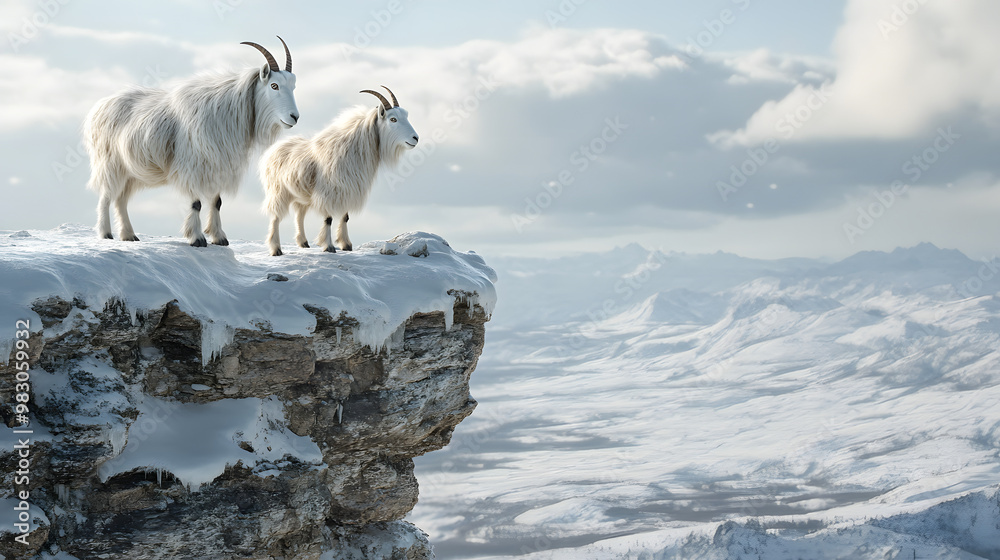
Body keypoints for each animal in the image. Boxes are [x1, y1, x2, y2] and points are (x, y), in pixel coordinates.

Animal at [84, 37, 299, 246]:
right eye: (274, 85)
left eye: (293, 86)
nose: (294, 117)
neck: (226, 111)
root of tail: (99, 107)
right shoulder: (193, 168)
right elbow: (196, 203)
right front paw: (197, 238)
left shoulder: (218, 165)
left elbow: (216, 202)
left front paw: (219, 237)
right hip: (111, 164)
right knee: (106, 196)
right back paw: (106, 233)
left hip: (131, 173)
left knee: (121, 200)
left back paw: (128, 235)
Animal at [260, 86, 418, 256]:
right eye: (393, 119)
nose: (415, 138)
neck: (353, 148)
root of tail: (272, 151)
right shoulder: (329, 192)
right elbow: (328, 219)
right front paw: (328, 247)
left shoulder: (347, 189)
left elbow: (345, 217)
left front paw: (346, 245)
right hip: (278, 192)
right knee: (276, 217)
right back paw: (276, 249)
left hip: (301, 196)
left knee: (299, 215)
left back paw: (303, 243)